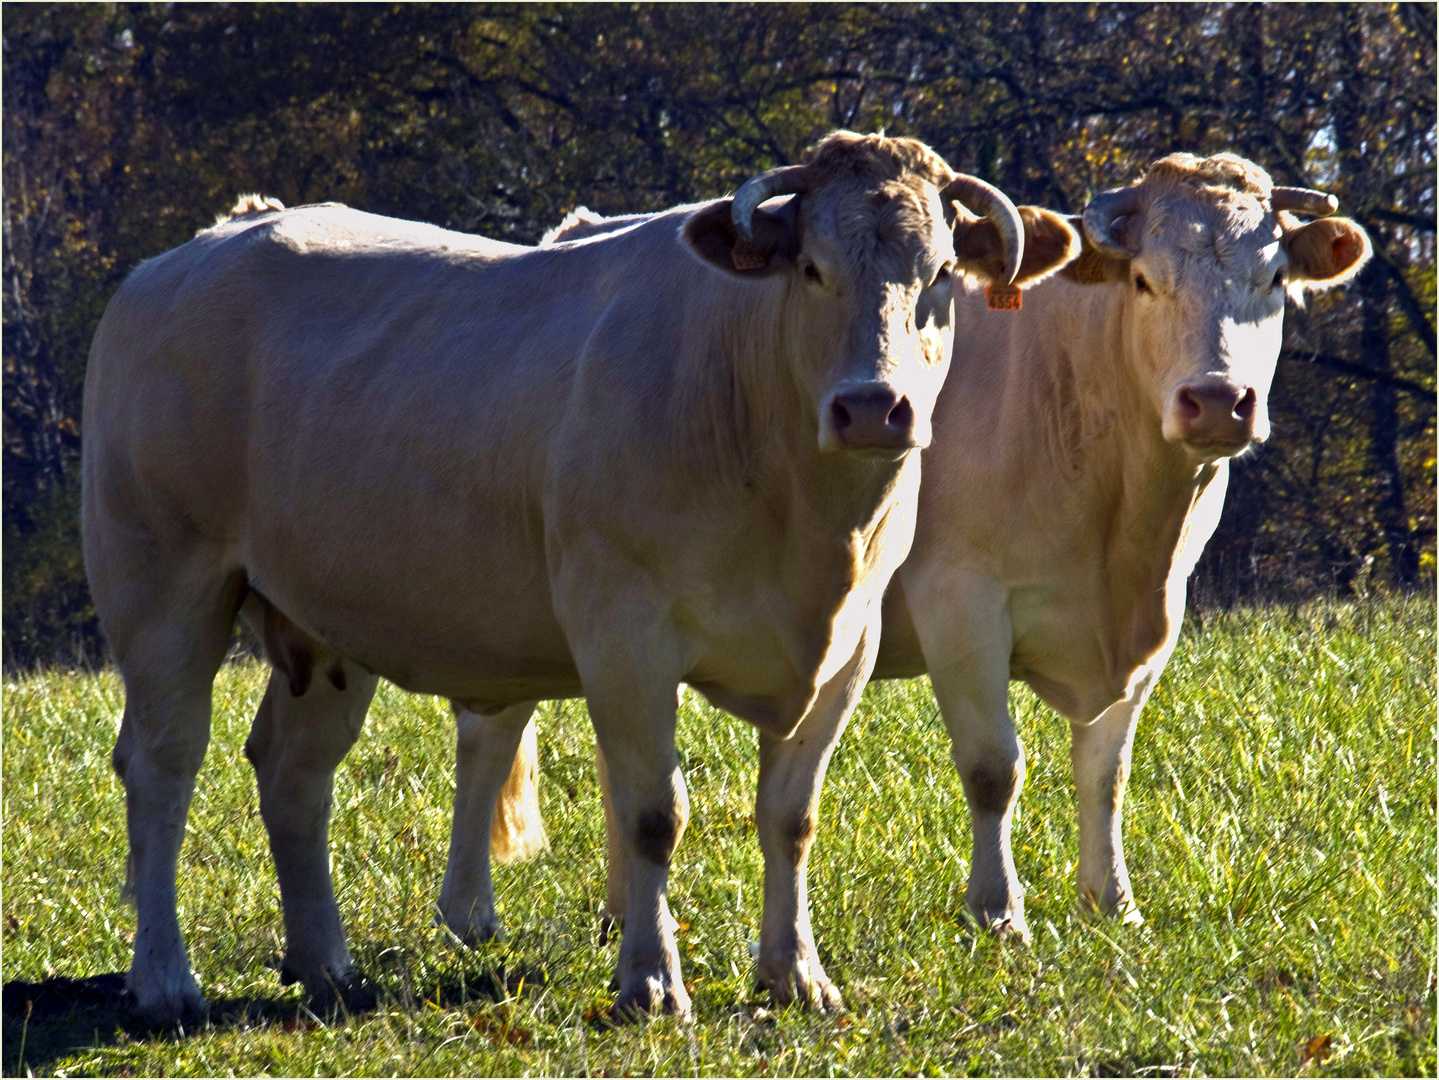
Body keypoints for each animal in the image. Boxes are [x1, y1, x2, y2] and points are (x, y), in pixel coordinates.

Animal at [81, 128, 1082, 1023]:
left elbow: (790, 818)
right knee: (163, 763)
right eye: (809, 268)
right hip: (163, 580)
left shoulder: (849, 647)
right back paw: (165, 979)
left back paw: (324, 964)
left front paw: (795, 976)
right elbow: (650, 812)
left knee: (295, 771)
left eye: (941, 274)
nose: (874, 407)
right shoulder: (623, 633)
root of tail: (193, 252)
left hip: (324, 622)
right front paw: (651, 984)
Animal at [460, 150, 1369, 954]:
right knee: (492, 735)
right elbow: (994, 766)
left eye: (1271, 281)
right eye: (1146, 280)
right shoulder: (959, 600)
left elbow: (1104, 771)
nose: (1216, 399)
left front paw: (1114, 907)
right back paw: (474, 917)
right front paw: (998, 916)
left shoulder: (1159, 614)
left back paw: (618, 917)